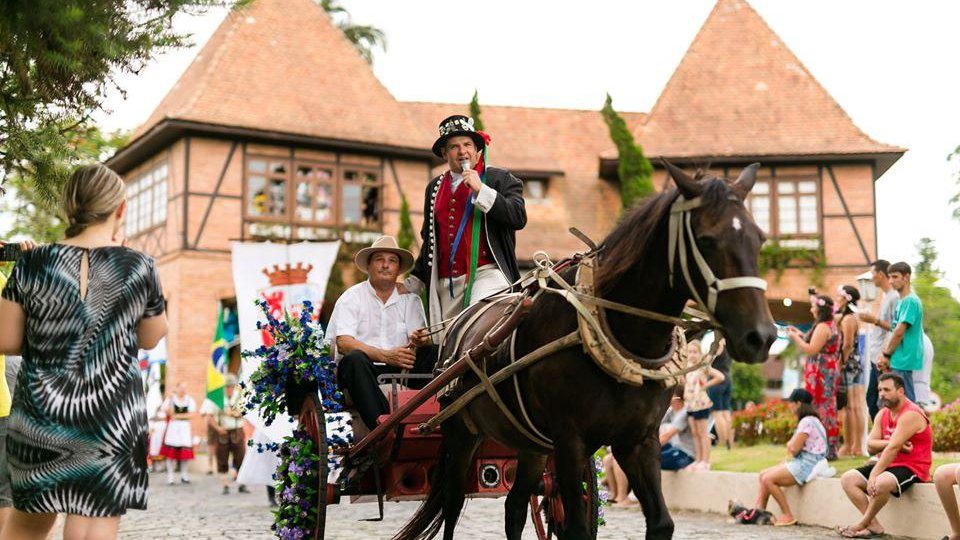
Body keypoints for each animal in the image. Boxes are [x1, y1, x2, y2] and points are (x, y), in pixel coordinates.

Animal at [394, 161, 776, 540]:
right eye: (706, 240)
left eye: (760, 238)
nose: (761, 336)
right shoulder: (570, 441)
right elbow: (576, 527)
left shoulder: (638, 440)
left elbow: (661, 522)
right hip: (462, 432)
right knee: (453, 502)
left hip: (530, 444)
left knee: (514, 507)